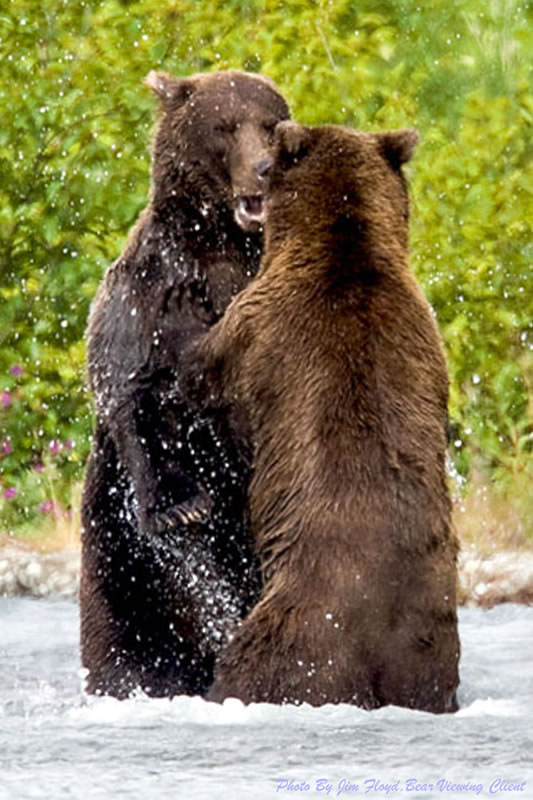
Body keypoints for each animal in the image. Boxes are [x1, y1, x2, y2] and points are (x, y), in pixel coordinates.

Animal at [80, 70, 290, 699]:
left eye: (271, 121)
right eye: (224, 126)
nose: (264, 167)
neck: (223, 246)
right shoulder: (151, 296)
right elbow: (134, 391)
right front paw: (183, 508)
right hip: (119, 572)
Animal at [182, 120, 461, 712]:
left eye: (270, 163)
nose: (262, 163)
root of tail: (379, 646)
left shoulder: (258, 322)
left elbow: (206, 371)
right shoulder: (424, 327)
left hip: (295, 635)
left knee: (257, 669)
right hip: (431, 654)